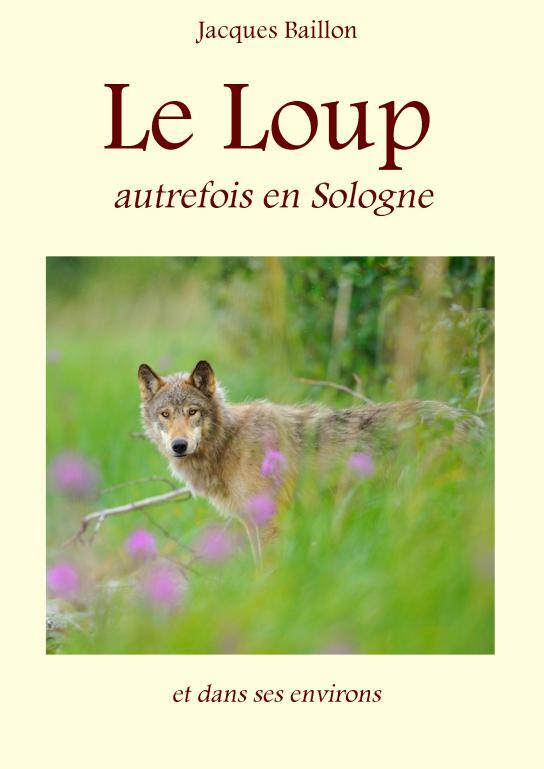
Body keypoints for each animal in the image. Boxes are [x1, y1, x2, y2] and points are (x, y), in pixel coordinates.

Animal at [138, 360, 484, 560]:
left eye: (192, 412)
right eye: (165, 415)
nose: (179, 445)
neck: (229, 443)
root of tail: (472, 420)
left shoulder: (270, 523)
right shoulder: (251, 524)